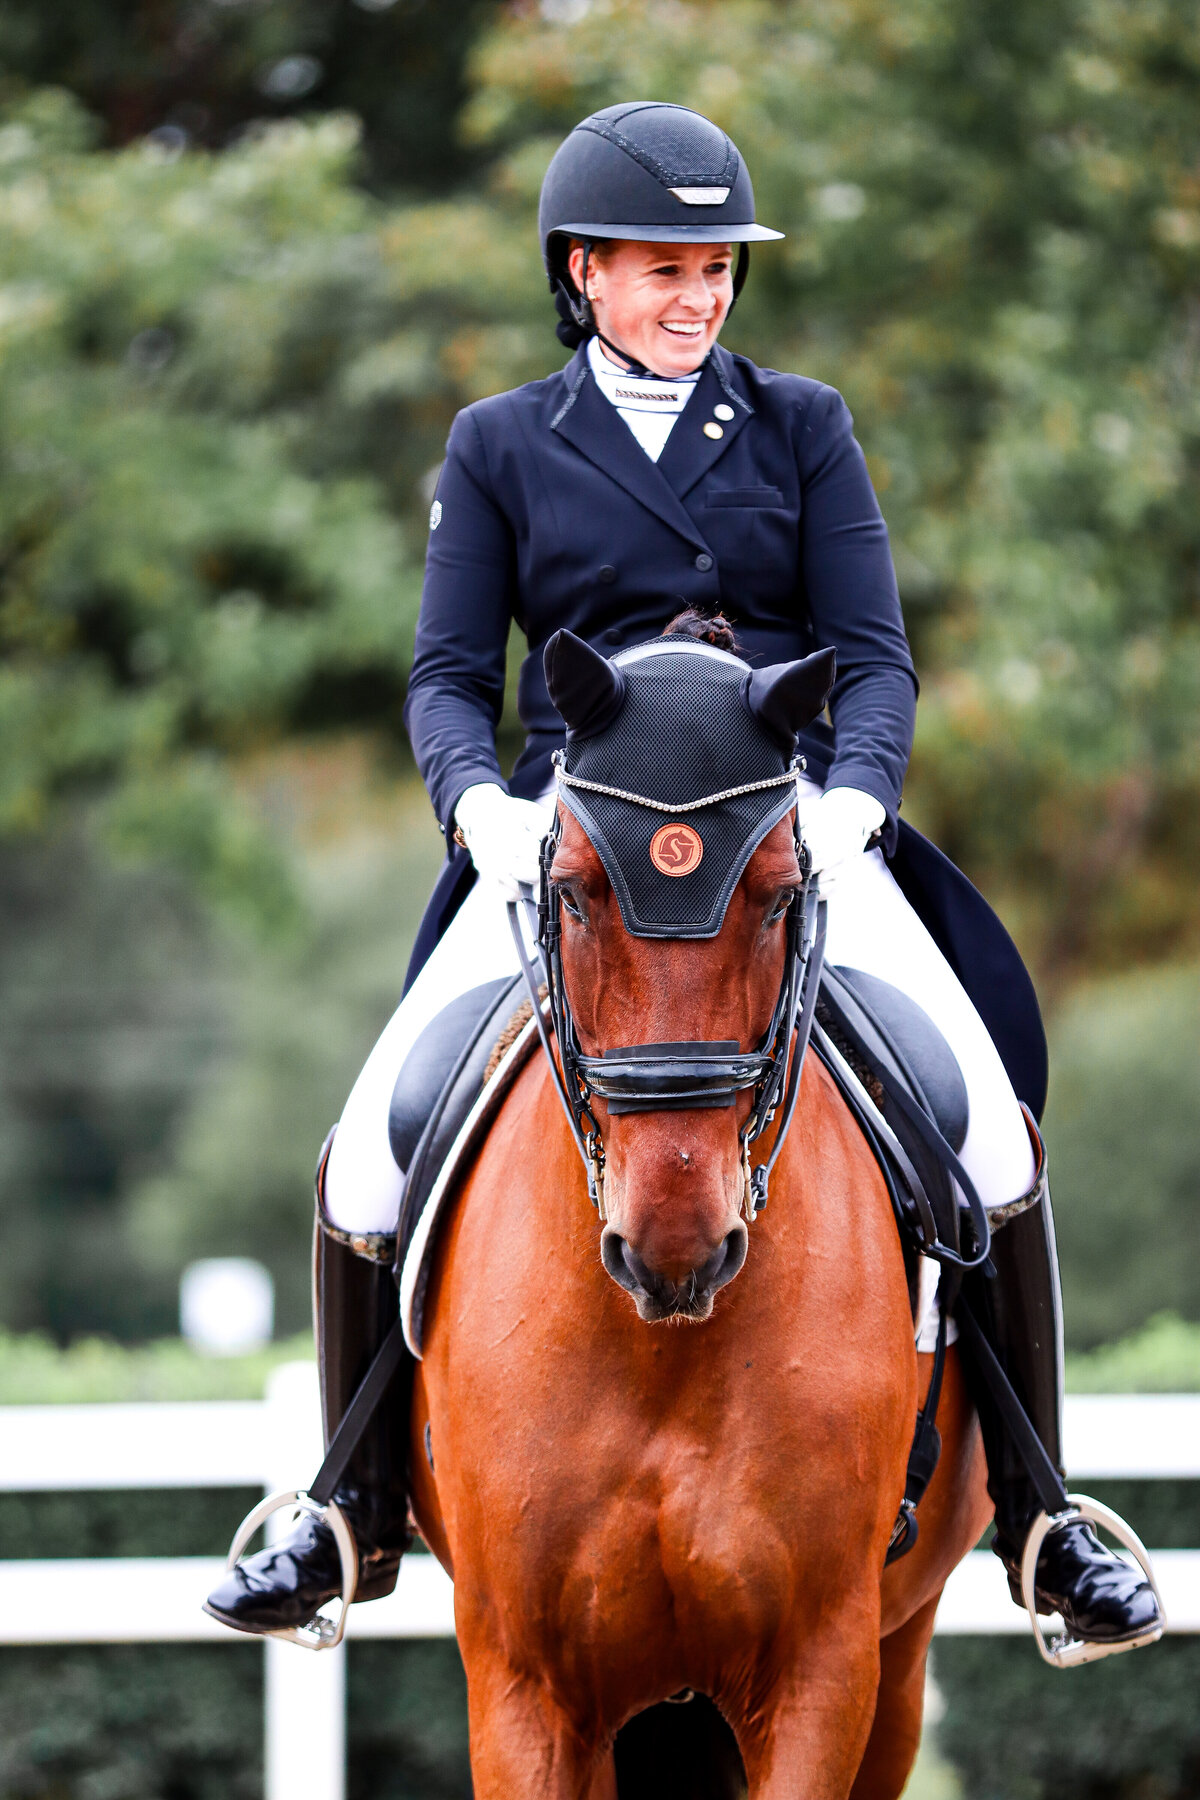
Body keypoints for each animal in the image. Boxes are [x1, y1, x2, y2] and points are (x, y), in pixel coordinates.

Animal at [406, 643, 992, 1799]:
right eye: (572, 893)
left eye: (779, 899)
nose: (675, 1243)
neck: (662, 1353)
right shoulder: (524, 1687)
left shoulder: (821, 1670)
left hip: (897, 1664)